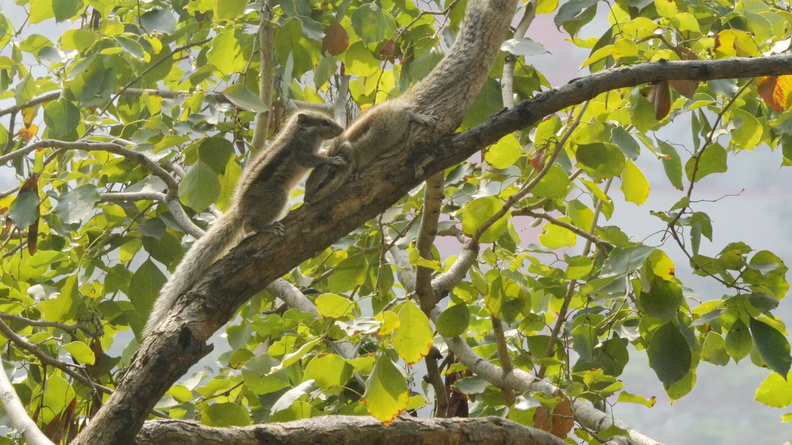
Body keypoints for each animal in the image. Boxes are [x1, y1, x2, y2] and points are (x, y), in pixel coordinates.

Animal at [143, 110, 345, 336]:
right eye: (324, 122)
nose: (341, 129)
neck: (298, 132)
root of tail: (240, 210)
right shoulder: (302, 151)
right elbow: (313, 159)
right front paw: (332, 157)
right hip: (278, 197)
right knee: (250, 224)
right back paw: (268, 227)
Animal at [304, 97, 436, 202]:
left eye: (320, 186)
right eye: (306, 184)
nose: (306, 200)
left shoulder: (347, 148)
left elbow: (351, 156)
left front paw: (355, 172)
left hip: (391, 123)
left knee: (407, 114)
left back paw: (420, 117)